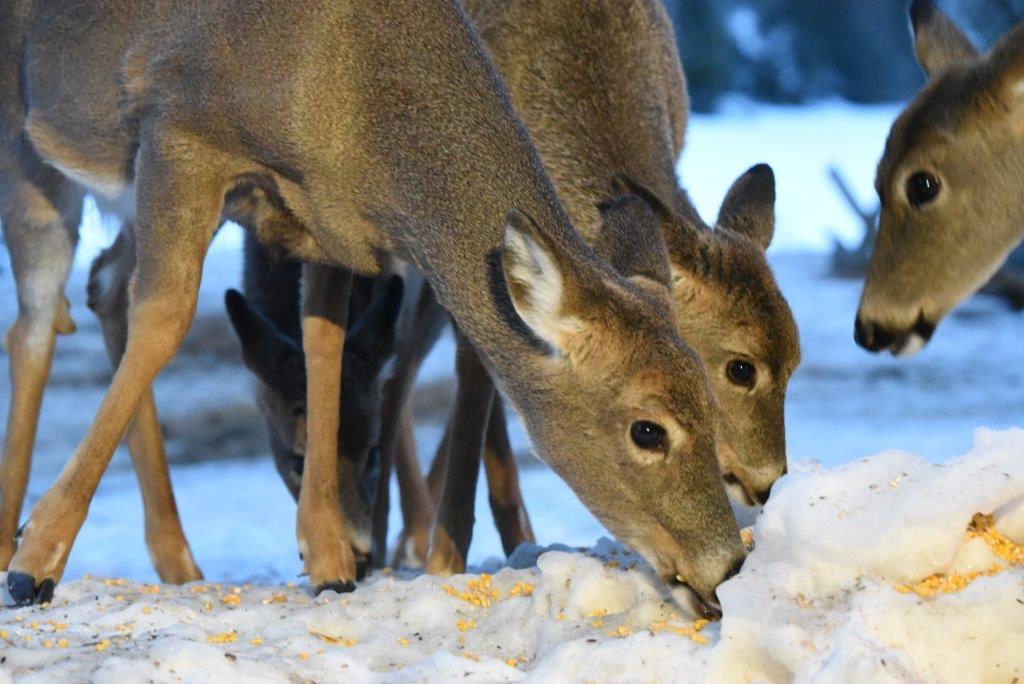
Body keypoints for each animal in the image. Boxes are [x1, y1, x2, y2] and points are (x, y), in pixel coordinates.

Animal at [0, 0, 744, 615]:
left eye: (714, 401)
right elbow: (165, 320)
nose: (731, 562)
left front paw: (329, 555)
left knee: (98, 285)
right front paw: (39, 559)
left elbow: (324, 344)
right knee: (36, 320)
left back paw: (178, 561)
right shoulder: (178, 132)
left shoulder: (328, 228)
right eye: (647, 430)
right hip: (32, 151)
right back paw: (19, 545)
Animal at [376, 0, 800, 576]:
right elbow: (479, 384)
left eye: (796, 362)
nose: (768, 482)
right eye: (740, 367)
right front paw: (447, 557)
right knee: (402, 359)